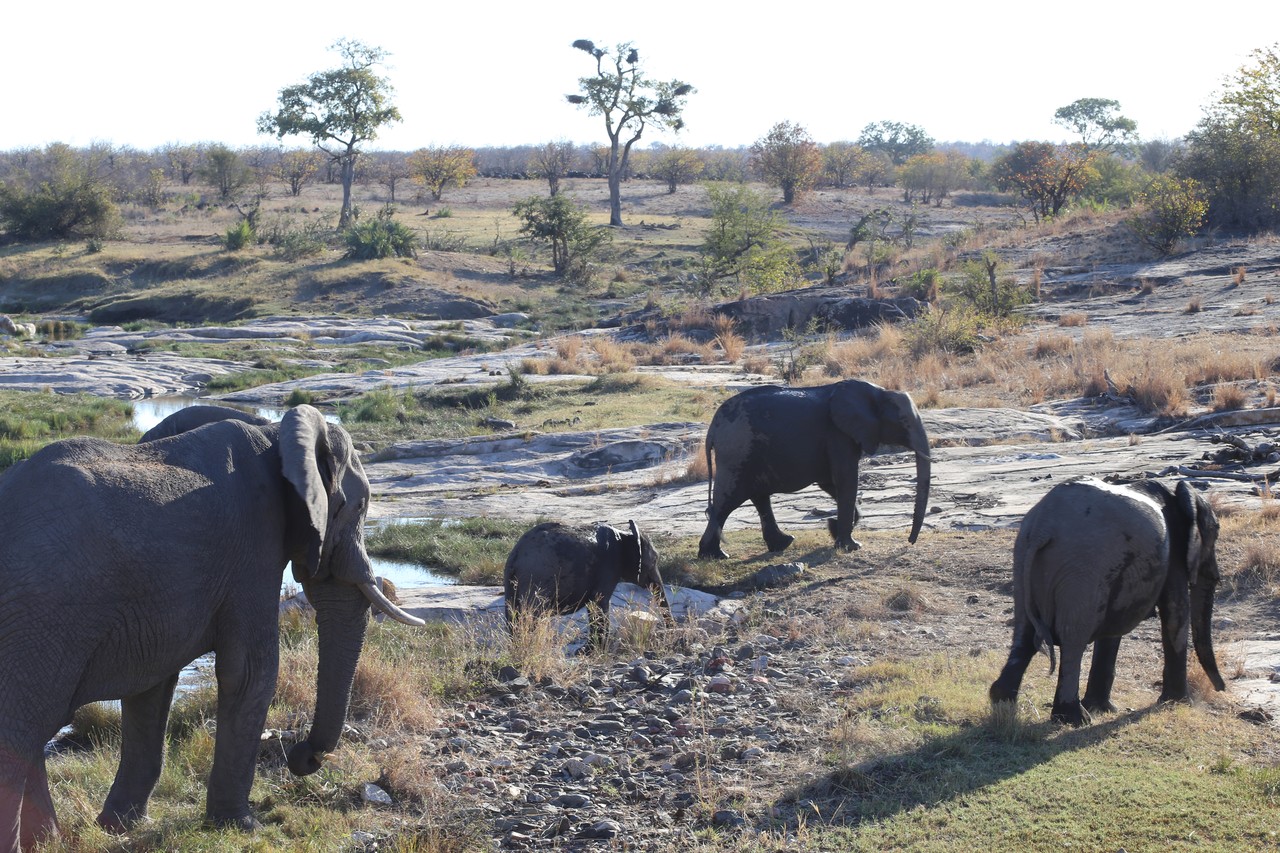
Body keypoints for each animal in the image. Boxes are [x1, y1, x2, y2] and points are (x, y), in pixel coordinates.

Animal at [0, 404, 424, 851]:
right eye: (358, 507)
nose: (303, 757)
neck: (273, 433)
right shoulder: (253, 548)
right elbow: (250, 672)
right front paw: (242, 826)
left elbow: (153, 688)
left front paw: (121, 825)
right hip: (42, 615)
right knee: (20, 730)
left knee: (32, 731)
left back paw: (48, 840)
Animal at [504, 520, 669, 651]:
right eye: (654, 561)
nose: (668, 630)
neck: (625, 535)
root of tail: (515, 558)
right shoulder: (608, 566)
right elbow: (599, 602)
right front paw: (592, 651)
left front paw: (587, 650)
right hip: (537, 579)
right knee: (531, 615)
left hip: (512, 584)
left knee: (513, 614)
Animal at [697, 379, 932, 559]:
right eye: (905, 422)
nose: (910, 541)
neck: (878, 391)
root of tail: (713, 429)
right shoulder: (838, 433)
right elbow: (846, 479)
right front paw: (851, 546)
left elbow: (830, 483)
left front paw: (833, 528)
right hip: (738, 453)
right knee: (728, 501)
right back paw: (715, 556)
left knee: (759, 497)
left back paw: (781, 544)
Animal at [988, 477, 1226, 726]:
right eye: (1217, 531)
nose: (1221, 688)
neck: (1178, 496)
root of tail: (1042, 527)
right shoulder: (1174, 554)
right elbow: (1175, 612)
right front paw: (1177, 703)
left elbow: (1112, 628)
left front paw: (1103, 708)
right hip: (1082, 568)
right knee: (1073, 639)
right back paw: (1074, 719)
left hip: (1024, 557)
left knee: (1024, 634)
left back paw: (1003, 700)